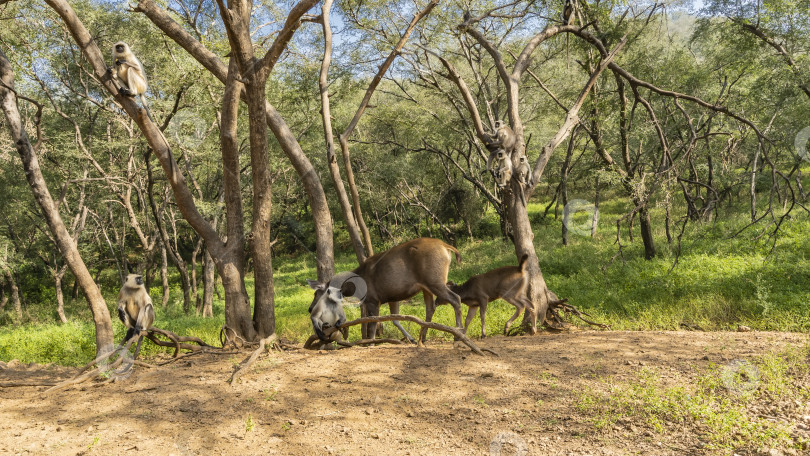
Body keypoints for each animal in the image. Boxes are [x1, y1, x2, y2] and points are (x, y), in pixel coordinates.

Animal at [308, 239, 464, 342]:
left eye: (317, 293)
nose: (310, 309)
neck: (354, 287)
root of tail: (447, 247)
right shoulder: (392, 297)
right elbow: (395, 319)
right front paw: (410, 338)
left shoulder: (372, 299)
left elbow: (372, 324)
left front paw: (370, 342)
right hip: (427, 286)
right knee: (430, 308)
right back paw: (423, 337)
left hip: (434, 280)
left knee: (455, 299)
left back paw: (459, 333)